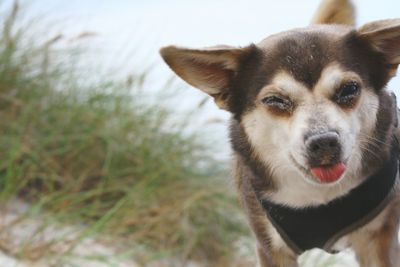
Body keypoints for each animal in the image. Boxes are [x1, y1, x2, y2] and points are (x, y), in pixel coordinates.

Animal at [159, 0, 400, 266]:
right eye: (275, 100)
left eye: (349, 89)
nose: (324, 141)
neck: (319, 198)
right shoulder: (270, 246)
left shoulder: (377, 241)